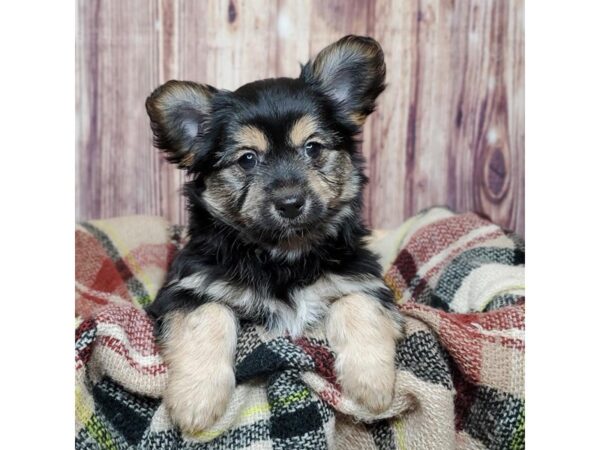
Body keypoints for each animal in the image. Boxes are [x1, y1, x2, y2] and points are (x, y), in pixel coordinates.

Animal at [145, 36, 404, 432]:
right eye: (247, 159)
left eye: (313, 148)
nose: (290, 202)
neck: (283, 252)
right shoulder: (187, 288)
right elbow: (209, 315)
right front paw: (196, 402)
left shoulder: (361, 276)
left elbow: (358, 304)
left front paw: (371, 386)